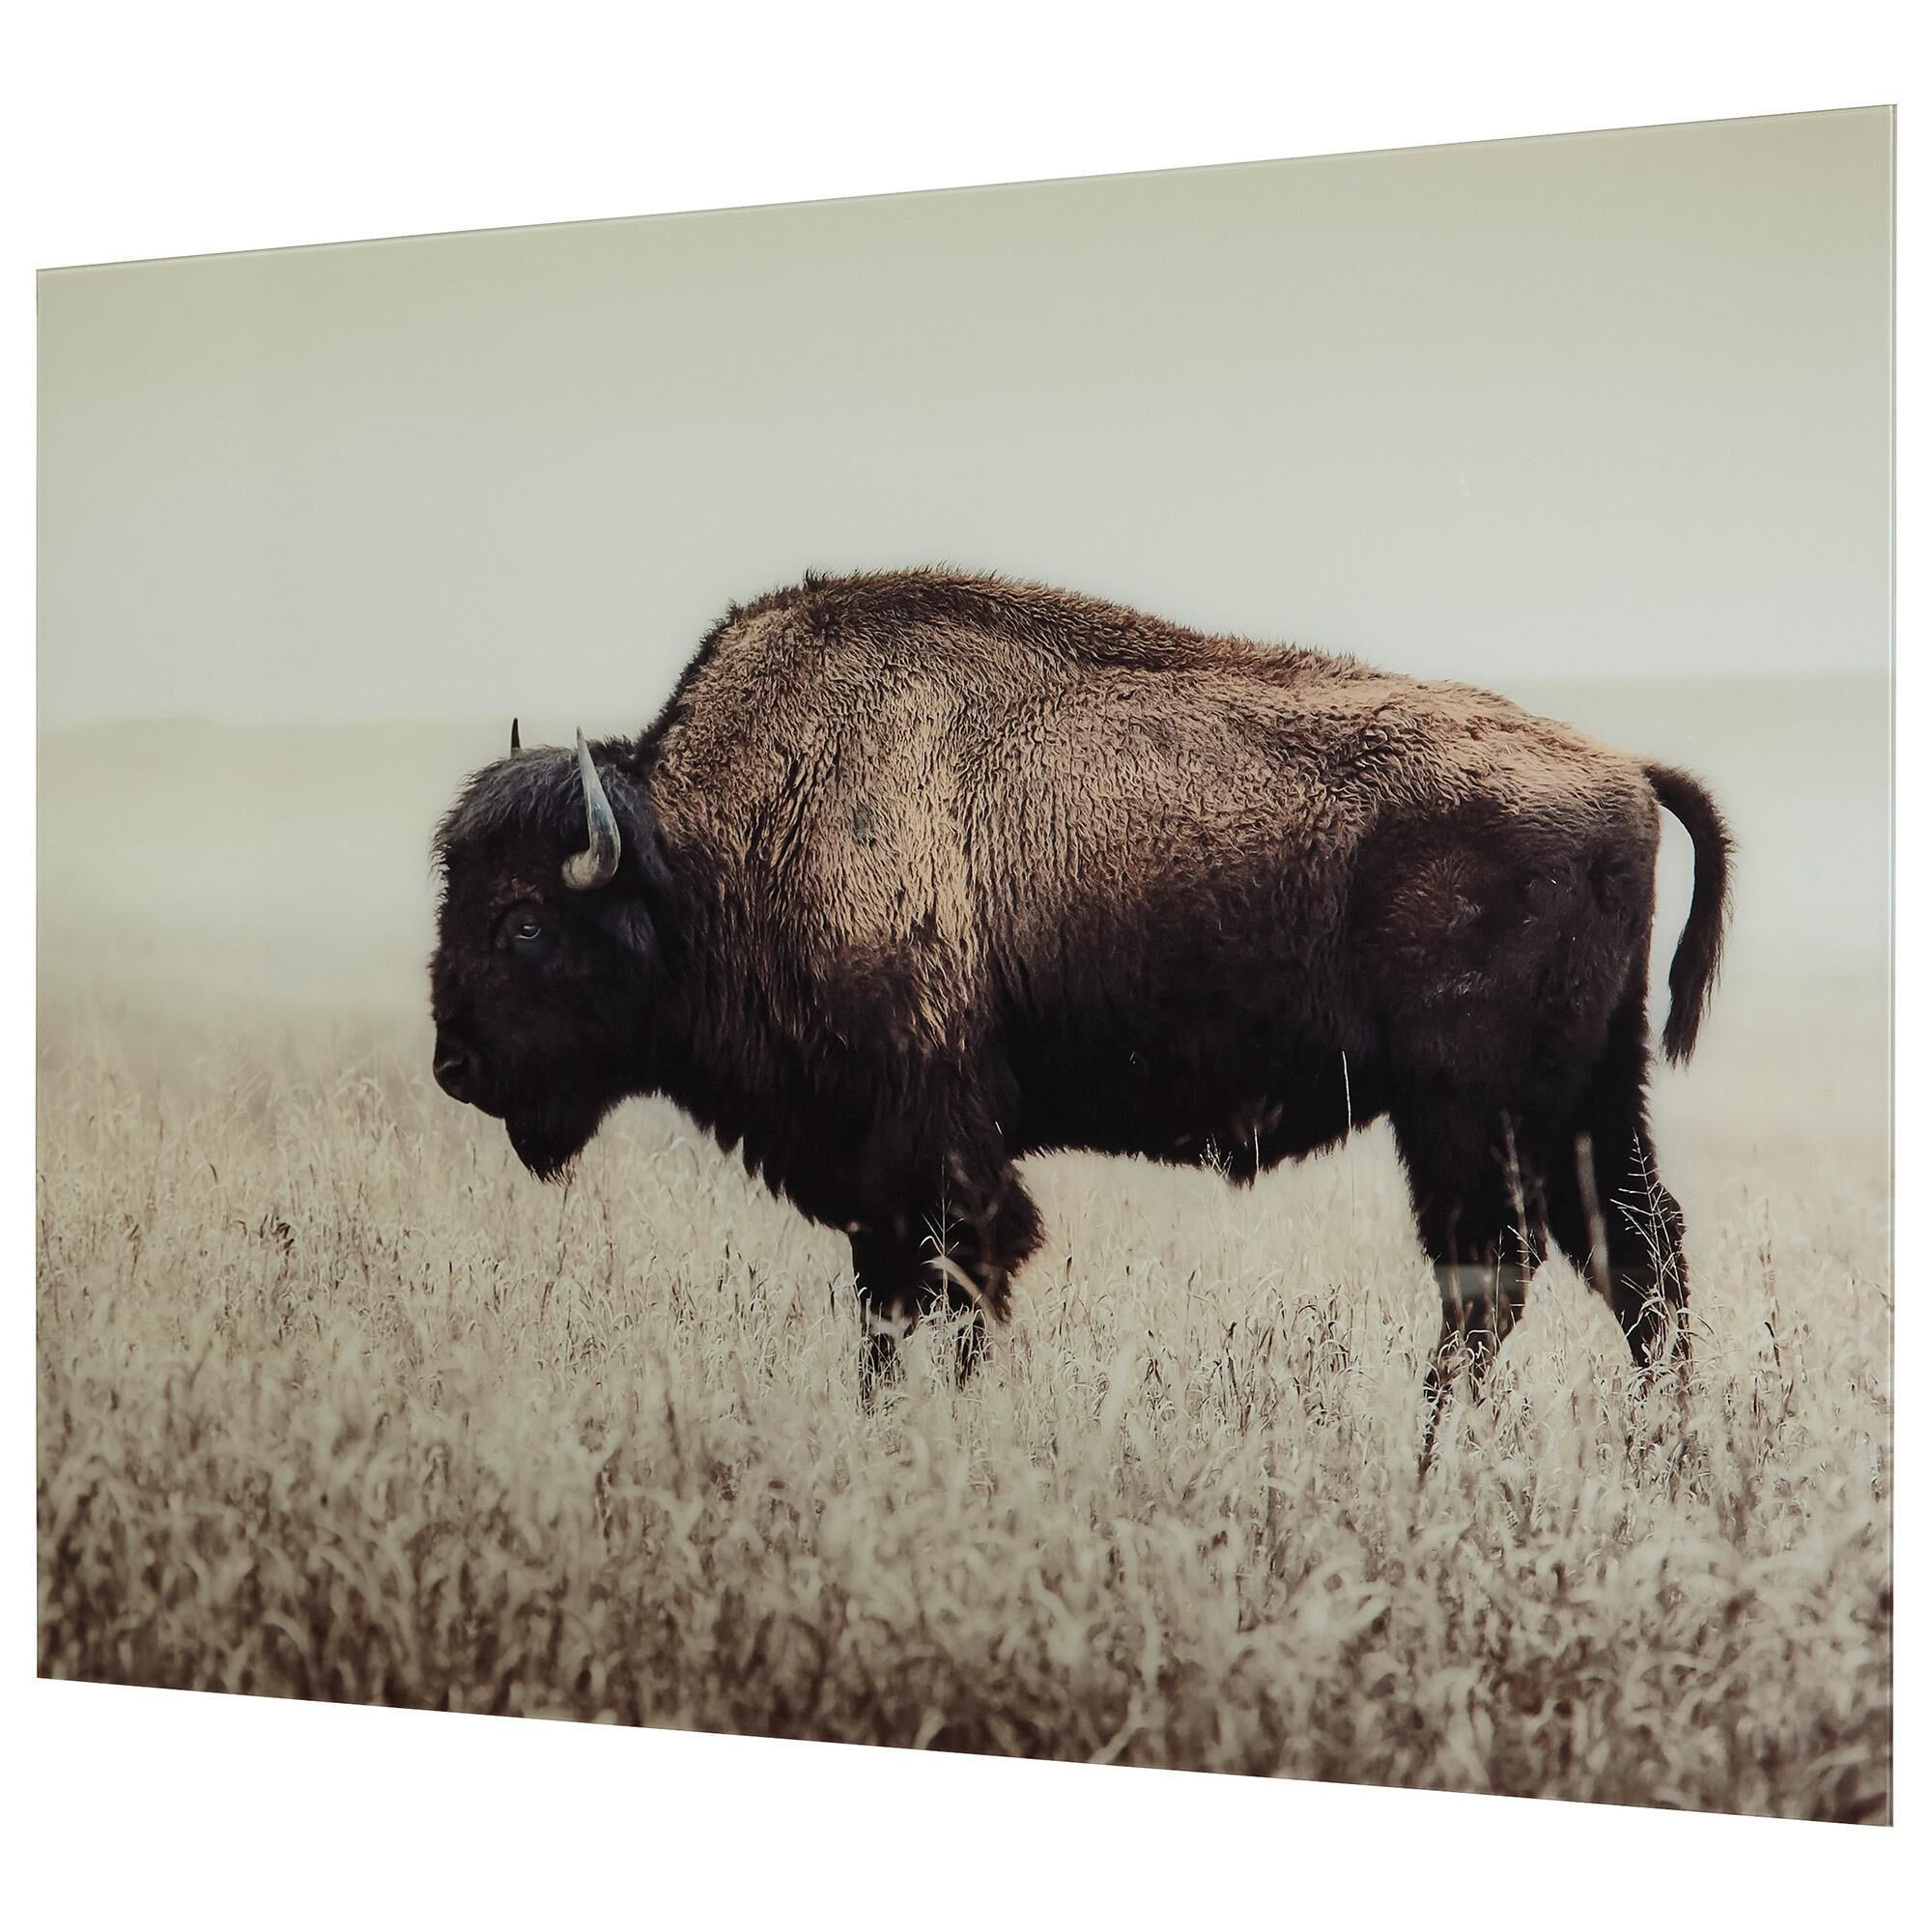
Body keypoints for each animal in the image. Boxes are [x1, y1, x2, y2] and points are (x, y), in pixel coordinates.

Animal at [430, 569, 1731, 1442]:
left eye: (523, 921)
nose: (455, 1066)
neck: (707, 850)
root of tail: (1622, 768)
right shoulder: (880, 1174)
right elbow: (888, 1305)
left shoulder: (934, 1149)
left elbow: (948, 1287)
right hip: (1586, 1097)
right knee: (1634, 1254)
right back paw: (1656, 1452)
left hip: (1469, 1110)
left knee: (1494, 1268)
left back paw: (1429, 1447)